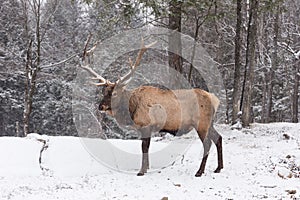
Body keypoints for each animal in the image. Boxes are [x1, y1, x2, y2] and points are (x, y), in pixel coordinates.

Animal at [79, 38, 223, 176]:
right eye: (103, 92)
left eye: (114, 93)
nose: (101, 106)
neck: (131, 109)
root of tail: (215, 99)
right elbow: (146, 148)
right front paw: (147, 168)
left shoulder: (146, 125)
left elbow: (144, 148)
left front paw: (141, 171)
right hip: (209, 123)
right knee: (218, 138)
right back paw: (218, 168)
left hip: (201, 123)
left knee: (207, 143)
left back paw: (199, 172)